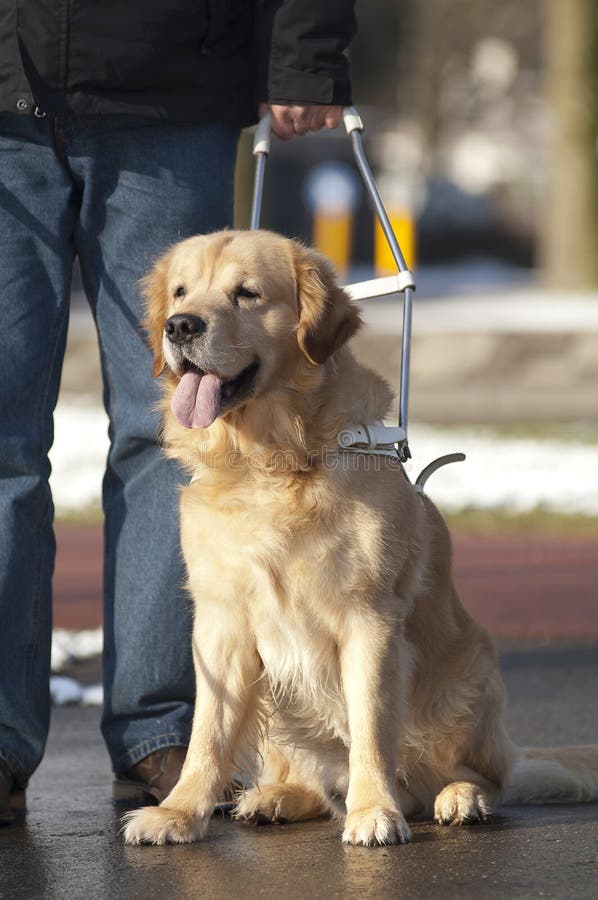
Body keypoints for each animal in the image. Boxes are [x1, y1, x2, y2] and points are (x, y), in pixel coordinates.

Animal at [123, 230, 598, 844]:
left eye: (247, 293)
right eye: (180, 291)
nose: (179, 326)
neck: (271, 460)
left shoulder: (368, 618)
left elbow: (370, 726)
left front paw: (374, 812)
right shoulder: (221, 622)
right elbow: (207, 734)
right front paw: (179, 812)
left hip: (471, 676)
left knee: (475, 777)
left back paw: (458, 798)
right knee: (312, 781)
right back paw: (274, 797)